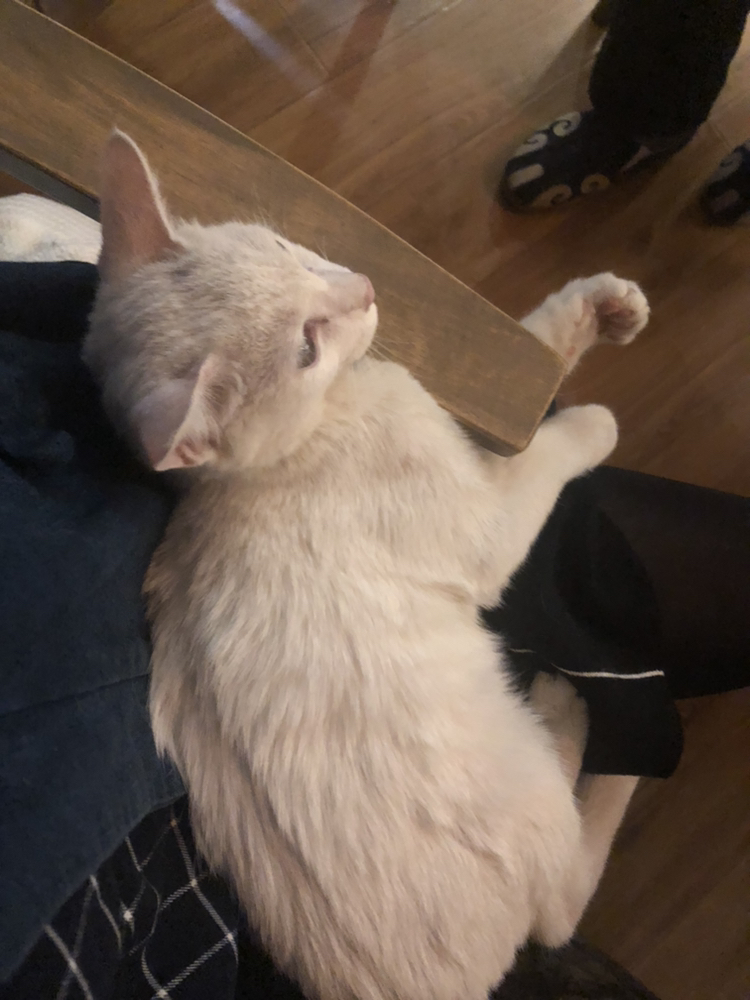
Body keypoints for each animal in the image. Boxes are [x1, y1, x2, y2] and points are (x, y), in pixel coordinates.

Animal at [83, 131, 649, 1000]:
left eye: (285, 248)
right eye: (307, 347)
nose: (365, 286)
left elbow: (530, 359)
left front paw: (602, 305)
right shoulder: (487, 523)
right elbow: (543, 450)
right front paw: (592, 421)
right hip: (531, 795)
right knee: (562, 903)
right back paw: (578, 724)